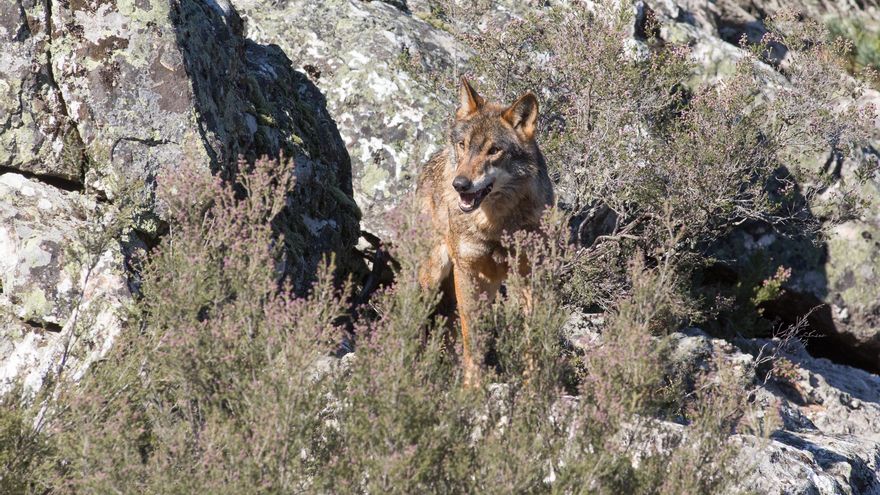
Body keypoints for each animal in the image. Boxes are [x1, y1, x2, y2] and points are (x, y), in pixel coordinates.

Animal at [416, 77, 554, 385]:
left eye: (494, 150)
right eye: (463, 145)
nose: (460, 184)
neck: (497, 226)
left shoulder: (529, 273)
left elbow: (531, 336)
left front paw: (533, 385)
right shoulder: (468, 271)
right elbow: (473, 336)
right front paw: (473, 386)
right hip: (433, 276)